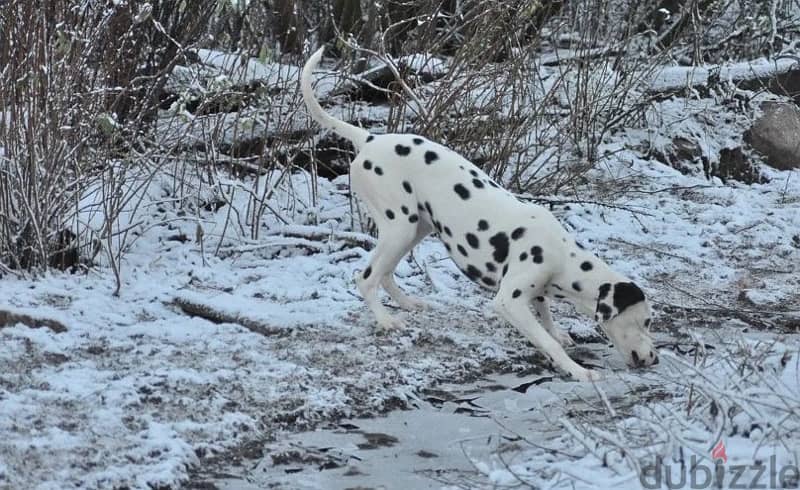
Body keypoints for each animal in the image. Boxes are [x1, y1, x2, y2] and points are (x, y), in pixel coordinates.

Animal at [300, 47, 656, 382]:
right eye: (646, 320)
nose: (654, 359)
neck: (562, 255)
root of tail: (370, 138)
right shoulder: (509, 300)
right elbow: (546, 341)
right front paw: (578, 371)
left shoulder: (534, 292)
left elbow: (546, 315)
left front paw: (558, 333)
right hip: (400, 228)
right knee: (366, 277)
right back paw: (387, 320)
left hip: (415, 229)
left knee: (385, 273)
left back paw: (408, 303)